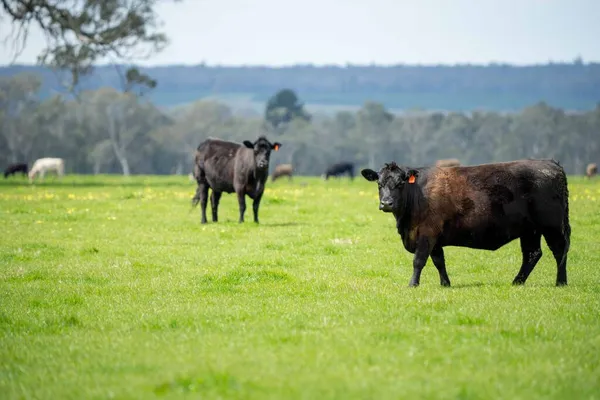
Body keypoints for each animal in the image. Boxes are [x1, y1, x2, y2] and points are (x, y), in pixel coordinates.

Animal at [360, 159, 572, 288]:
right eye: (379, 184)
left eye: (401, 183)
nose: (386, 203)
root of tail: (551, 164)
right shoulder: (435, 238)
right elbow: (439, 261)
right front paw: (445, 284)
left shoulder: (427, 233)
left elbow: (419, 261)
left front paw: (413, 284)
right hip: (530, 230)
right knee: (532, 254)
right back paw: (517, 282)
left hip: (552, 226)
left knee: (559, 250)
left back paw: (560, 282)